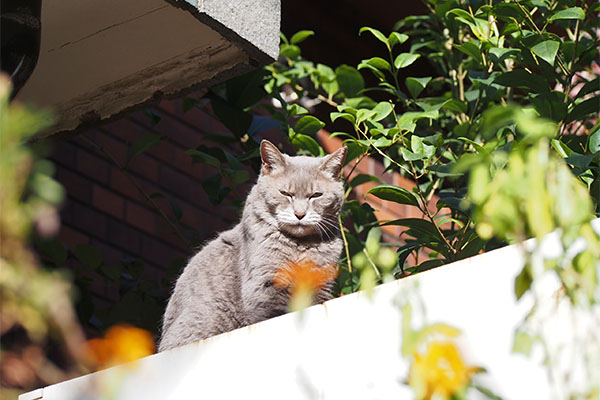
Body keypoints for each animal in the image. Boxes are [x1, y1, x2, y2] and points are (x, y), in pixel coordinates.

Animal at [159, 140, 346, 350]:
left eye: (316, 195)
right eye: (285, 193)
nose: (300, 214)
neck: (299, 246)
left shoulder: (321, 287)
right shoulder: (265, 285)